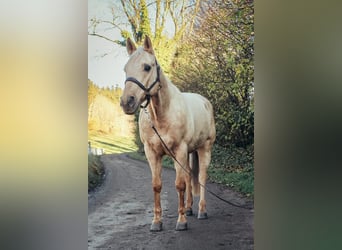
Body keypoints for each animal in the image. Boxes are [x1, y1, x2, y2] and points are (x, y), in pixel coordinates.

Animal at [120, 36, 215, 231]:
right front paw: (157, 222)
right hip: (189, 153)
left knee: (201, 177)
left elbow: (179, 185)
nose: (127, 102)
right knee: (189, 175)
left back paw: (201, 210)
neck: (162, 115)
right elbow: (157, 185)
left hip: (204, 148)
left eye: (147, 67)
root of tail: (204, 101)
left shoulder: (179, 149)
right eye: (125, 69)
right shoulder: (152, 153)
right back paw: (189, 208)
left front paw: (181, 222)